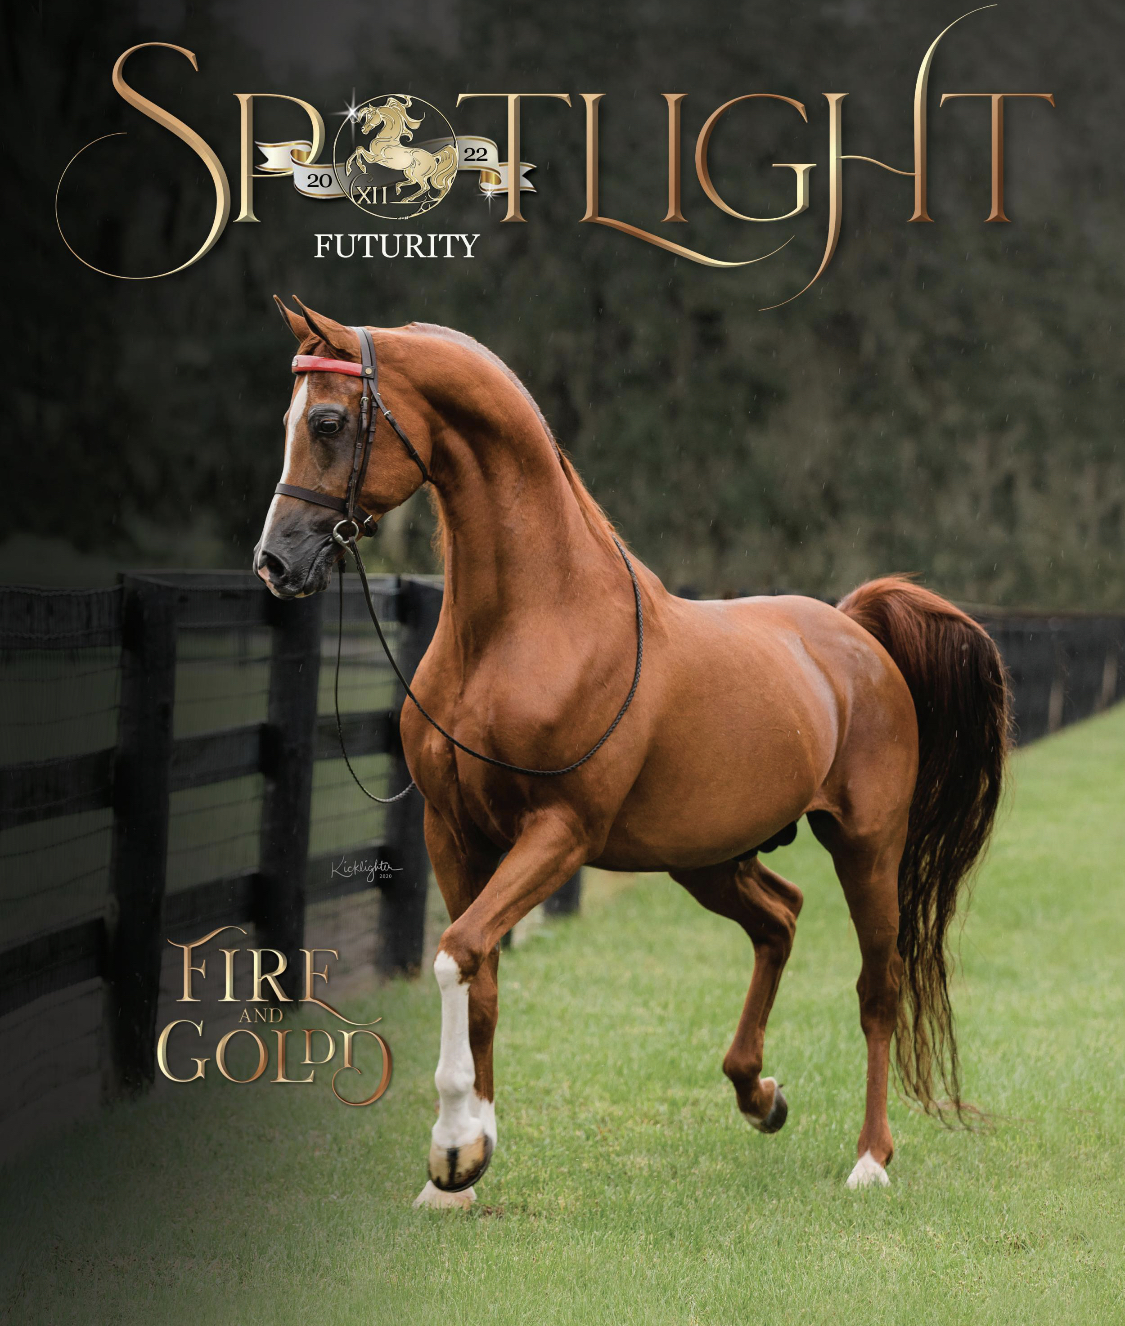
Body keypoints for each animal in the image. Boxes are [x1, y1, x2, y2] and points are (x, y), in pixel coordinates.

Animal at [254, 299, 1011, 1209]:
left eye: (328, 422)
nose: (275, 562)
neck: (529, 627)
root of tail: (854, 628)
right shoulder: (454, 833)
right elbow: (481, 980)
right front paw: (463, 1172)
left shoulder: (559, 834)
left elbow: (456, 954)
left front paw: (454, 1146)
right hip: (707, 858)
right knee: (779, 919)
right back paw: (758, 1095)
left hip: (866, 846)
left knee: (877, 987)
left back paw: (869, 1159)